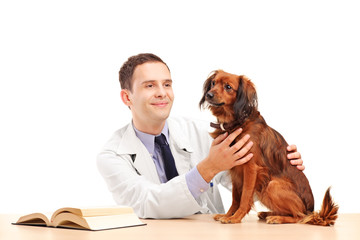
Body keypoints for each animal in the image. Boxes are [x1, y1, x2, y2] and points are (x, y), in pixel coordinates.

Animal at [200, 69, 338, 225]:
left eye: (228, 87)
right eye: (213, 83)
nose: (209, 94)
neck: (237, 123)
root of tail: (311, 210)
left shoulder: (251, 169)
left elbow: (245, 197)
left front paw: (235, 217)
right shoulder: (236, 170)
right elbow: (235, 198)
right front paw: (228, 215)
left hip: (271, 185)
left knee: (300, 216)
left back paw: (277, 217)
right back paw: (267, 213)